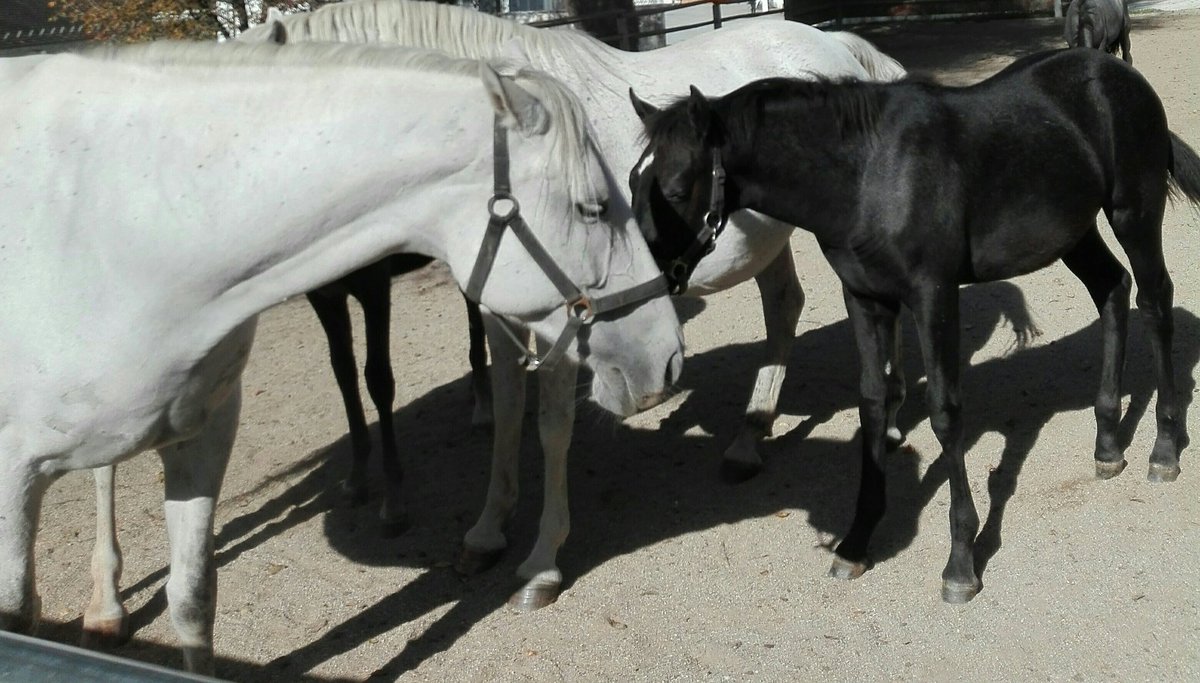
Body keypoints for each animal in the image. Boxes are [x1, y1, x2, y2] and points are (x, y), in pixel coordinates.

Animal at [236, 0, 906, 611]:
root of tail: (838, 48)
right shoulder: (500, 315)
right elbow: (508, 410)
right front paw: (486, 533)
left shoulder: (565, 319)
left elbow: (551, 426)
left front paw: (541, 563)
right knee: (784, 306)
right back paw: (751, 437)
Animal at [629, 47, 1200, 604]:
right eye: (633, 188)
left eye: (676, 190)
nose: (653, 283)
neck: (868, 175)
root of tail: (1118, 72)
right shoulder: (866, 298)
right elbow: (873, 404)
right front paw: (856, 543)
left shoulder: (933, 296)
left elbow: (946, 414)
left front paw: (961, 563)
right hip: (1073, 232)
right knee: (1111, 290)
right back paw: (1108, 444)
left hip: (1133, 213)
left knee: (1154, 302)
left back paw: (1164, 448)